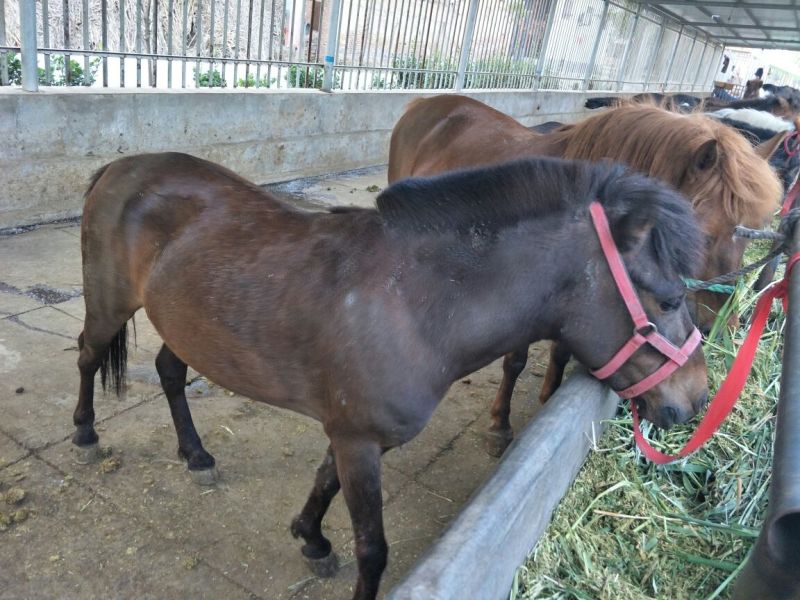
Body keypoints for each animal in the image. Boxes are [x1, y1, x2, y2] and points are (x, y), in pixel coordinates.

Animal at [74, 152, 707, 600]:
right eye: (672, 299)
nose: (697, 399)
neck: (413, 303)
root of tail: (121, 167)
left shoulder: (353, 434)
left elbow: (324, 484)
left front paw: (310, 538)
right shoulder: (357, 439)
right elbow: (372, 548)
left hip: (182, 320)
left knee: (169, 371)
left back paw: (197, 455)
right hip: (109, 304)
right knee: (87, 357)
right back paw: (85, 434)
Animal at [388, 94, 782, 455]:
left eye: (752, 233)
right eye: (702, 235)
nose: (724, 327)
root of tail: (426, 103)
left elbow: (562, 352)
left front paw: (548, 398)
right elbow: (515, 362)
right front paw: (499, 426)